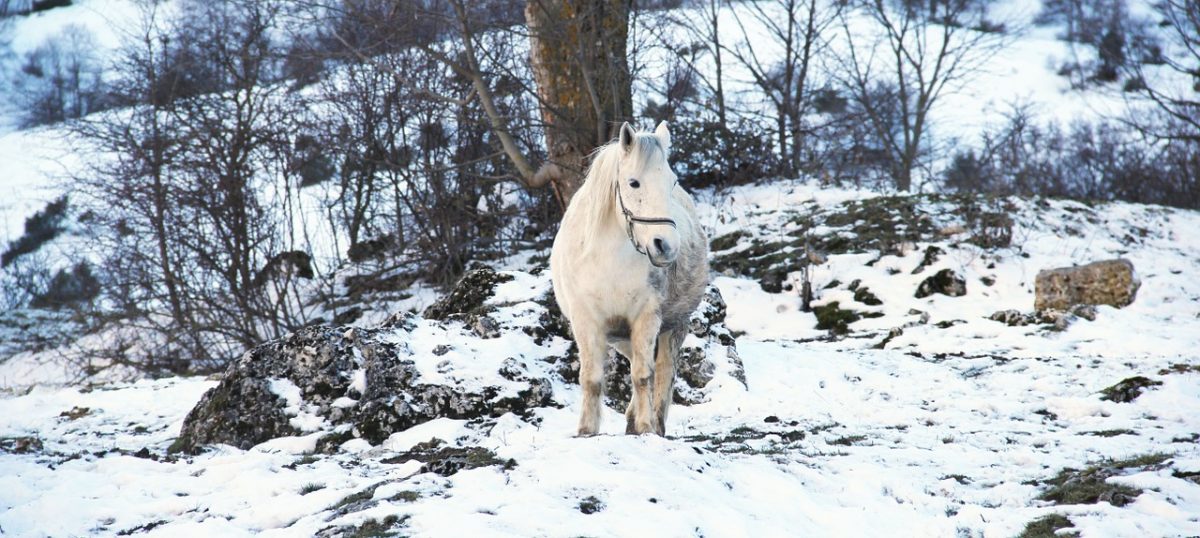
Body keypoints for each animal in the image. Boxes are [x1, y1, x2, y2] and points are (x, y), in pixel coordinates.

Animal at [549, 121, 705, 437]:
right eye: (633, 183)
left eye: (672, 182)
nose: (665, 246)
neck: (608, 259)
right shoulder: (587, 321)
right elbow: (591, 378)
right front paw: (586, 430)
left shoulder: (647, 317)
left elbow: (643, 375)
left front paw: (646, 427)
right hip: (619, 335)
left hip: (675, 325)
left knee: (664, 371)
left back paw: (655, 422)